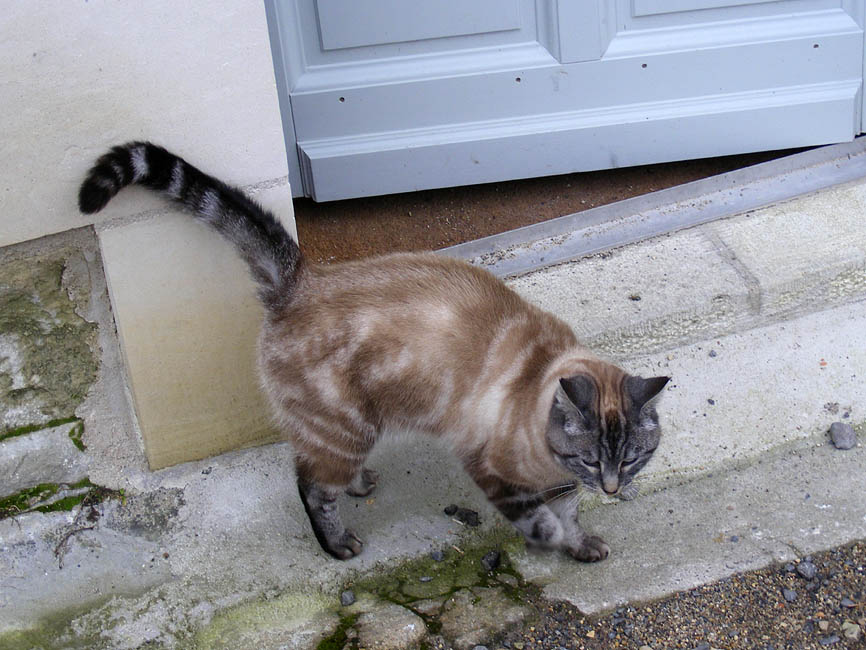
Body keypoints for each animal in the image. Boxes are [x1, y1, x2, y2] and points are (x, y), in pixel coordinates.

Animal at [77, 144, 668, 560]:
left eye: (632, 457)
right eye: (592, 458)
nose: (613, 488)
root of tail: (301, 278)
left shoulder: (562, 484)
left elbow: (569, 516)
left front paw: (580, 544)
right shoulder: (495, 472)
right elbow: (539, 521)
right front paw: (551, 540)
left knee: (320, 470)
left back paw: (362, 485)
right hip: (346, 428)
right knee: (310, 484)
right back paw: (338, 544)